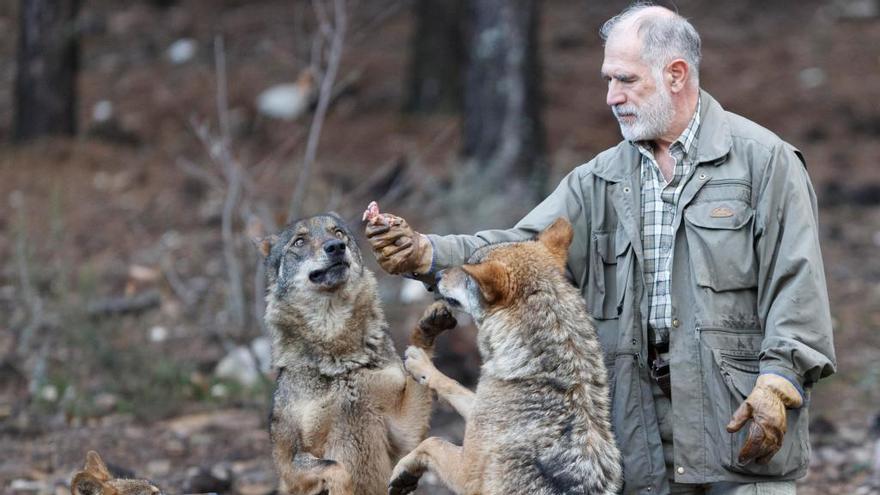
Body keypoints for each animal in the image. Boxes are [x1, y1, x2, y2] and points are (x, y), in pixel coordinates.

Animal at [258, 214, 458, 495]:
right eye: (299, 241)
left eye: (339, 233)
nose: (335, 247)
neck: (340, 361)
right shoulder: (289, 468)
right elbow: (336, 468)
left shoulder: (403, 433)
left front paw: (426, 329)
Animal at [388, 219, 624, 494]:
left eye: (468, 273)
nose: (436, 276)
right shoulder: (478, 410)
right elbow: (454, 385)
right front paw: (422, 365)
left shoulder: (468, 474)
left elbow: (432, 441)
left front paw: (403, 472)